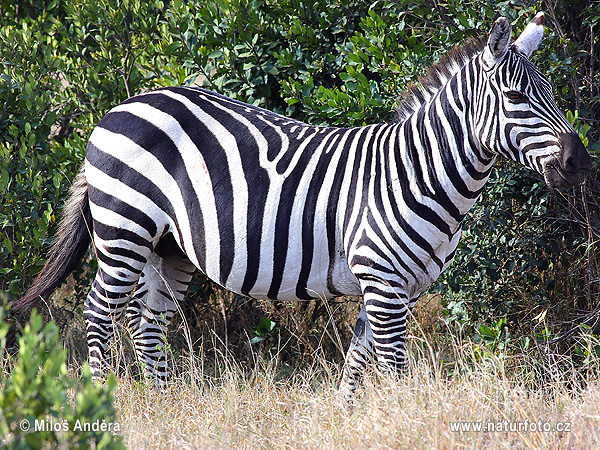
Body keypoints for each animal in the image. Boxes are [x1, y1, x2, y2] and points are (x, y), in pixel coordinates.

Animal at [18, 12, 592, 396]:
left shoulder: (393, 287)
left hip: (169, 248)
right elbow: (394, 370)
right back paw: (107, 402)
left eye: (549, 91)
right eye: (517, 97)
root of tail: (120, 106)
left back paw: (163, 407)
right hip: (124, 229)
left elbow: (357, 365)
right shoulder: (383, 281)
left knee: (147, 325)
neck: (419, 172)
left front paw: (351, 417)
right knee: (98, 314)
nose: (580, 163)